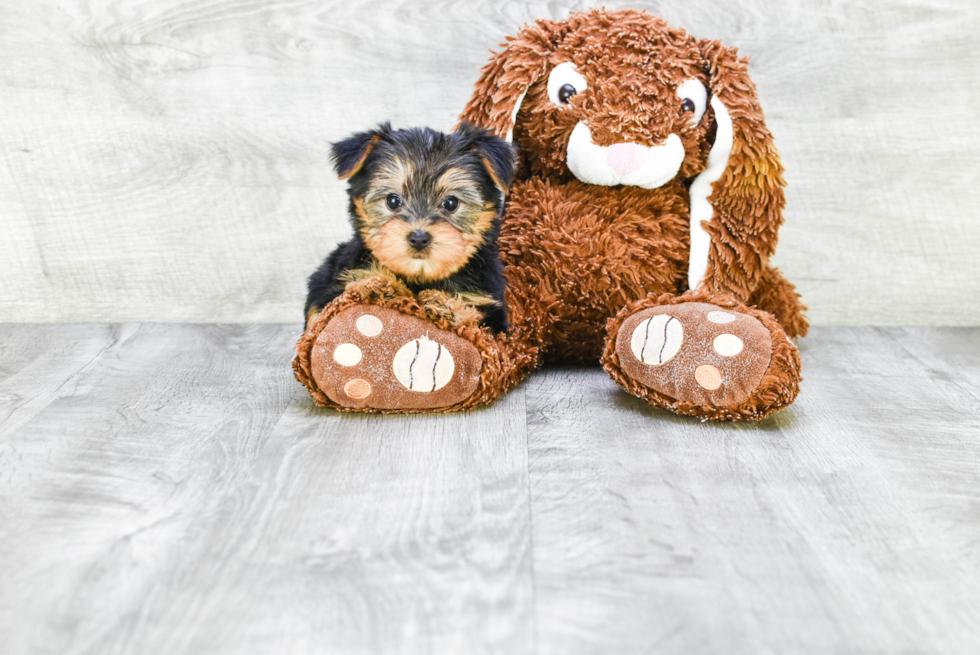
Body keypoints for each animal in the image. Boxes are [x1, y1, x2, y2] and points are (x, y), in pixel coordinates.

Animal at [302, 124, 516, 334]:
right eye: (393, 200)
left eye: (451, 203)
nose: (419, 238)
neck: (420, 278)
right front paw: (382, 286)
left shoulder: (487, 305)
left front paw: (445, 306)